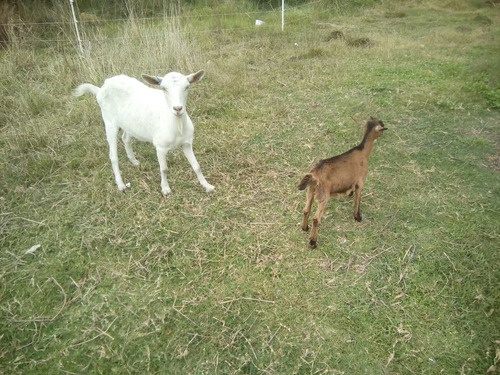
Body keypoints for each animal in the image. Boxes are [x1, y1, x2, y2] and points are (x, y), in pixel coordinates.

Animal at [73, 71, 214, 198]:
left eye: (187, 87)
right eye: (163, 88)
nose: (178, 108)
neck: (177, 124)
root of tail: (100, 88)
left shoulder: (186, 143)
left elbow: (196, 166)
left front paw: (207, 186)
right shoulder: (160, 146)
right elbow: (164, 169)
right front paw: (165, 189)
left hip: (129, 123)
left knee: (125, 138)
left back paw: (134, 161)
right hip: (109, 121)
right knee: (113, 156)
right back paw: (121, 185)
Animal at [296, 116, 386, 248]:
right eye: (381, 126)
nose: (384, 130)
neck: (362, 151)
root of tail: (314, 175)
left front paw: (349, 193)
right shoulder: (360, 180)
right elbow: (358, 199)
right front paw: (357, 217)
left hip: (310, 191)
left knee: (306, 210)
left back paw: (304, 228)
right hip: (323, 195)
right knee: (316, 218)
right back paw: (313, 242)